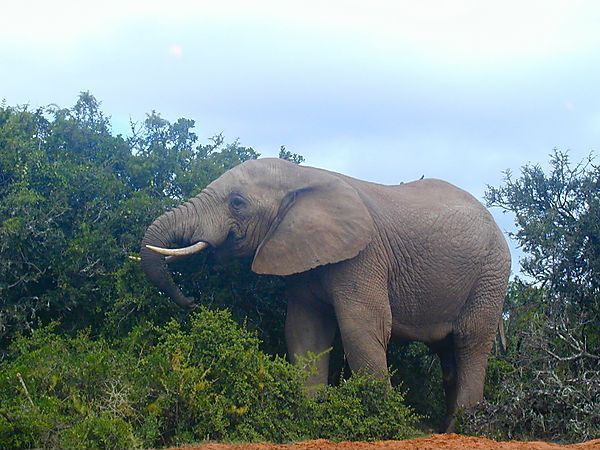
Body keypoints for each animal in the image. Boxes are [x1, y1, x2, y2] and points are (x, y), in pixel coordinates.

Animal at [141, 156, 510, 430]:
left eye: (237, 203)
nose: (191, 301)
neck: (301, 175)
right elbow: (305, 331)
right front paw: (312, 417)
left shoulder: (363, 256)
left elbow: (361, 327)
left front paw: (383, 422)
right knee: (448, 355)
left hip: (491, 274)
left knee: (470, 342)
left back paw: (463, 428)